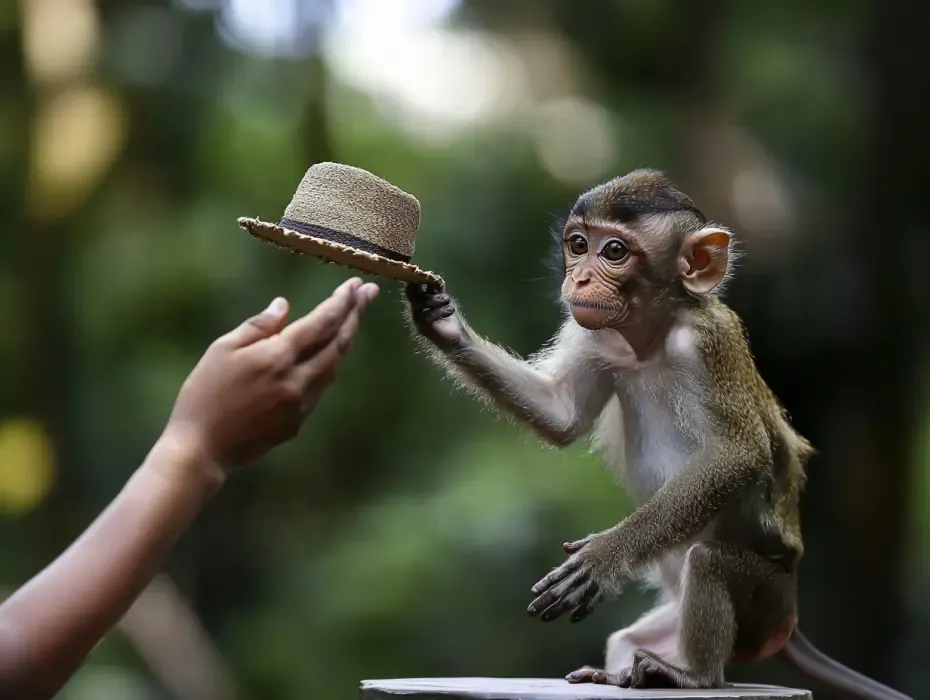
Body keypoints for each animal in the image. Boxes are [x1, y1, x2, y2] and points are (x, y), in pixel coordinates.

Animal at [403, 169, 913, 700]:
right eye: (578, 244)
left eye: (613, 251)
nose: (578, 278)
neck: (648, 338)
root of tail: (788, 623)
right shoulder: (597, 336)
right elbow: (562, 415)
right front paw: (441, 321)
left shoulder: (709, 341)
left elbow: (738, 454)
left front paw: (604, 557)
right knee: (631, 636)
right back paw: (623, 671)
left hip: (764, 599)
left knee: (709, 562)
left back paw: (693, 674)